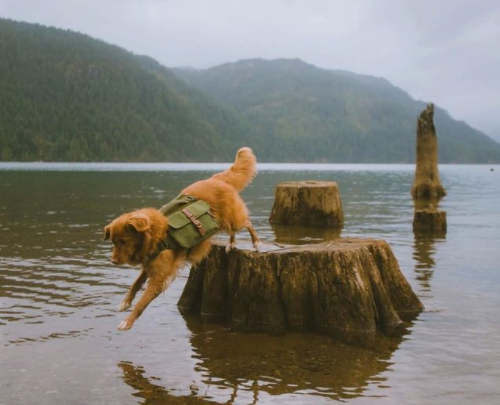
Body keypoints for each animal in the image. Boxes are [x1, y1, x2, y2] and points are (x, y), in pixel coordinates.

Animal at [103, 147, 260, 330]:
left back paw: (256, 243)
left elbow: (142, 302)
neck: (156, 235)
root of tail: (216, 179)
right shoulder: (149, 265)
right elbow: (135, 284)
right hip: (224, 222)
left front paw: (127, 321)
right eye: (113, 242)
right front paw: (125, 302)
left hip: (234, 219)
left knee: (247, 223)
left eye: (123, 242)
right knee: (232, 231)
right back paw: (231, 244)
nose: (113, 261)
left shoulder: (159, 278)